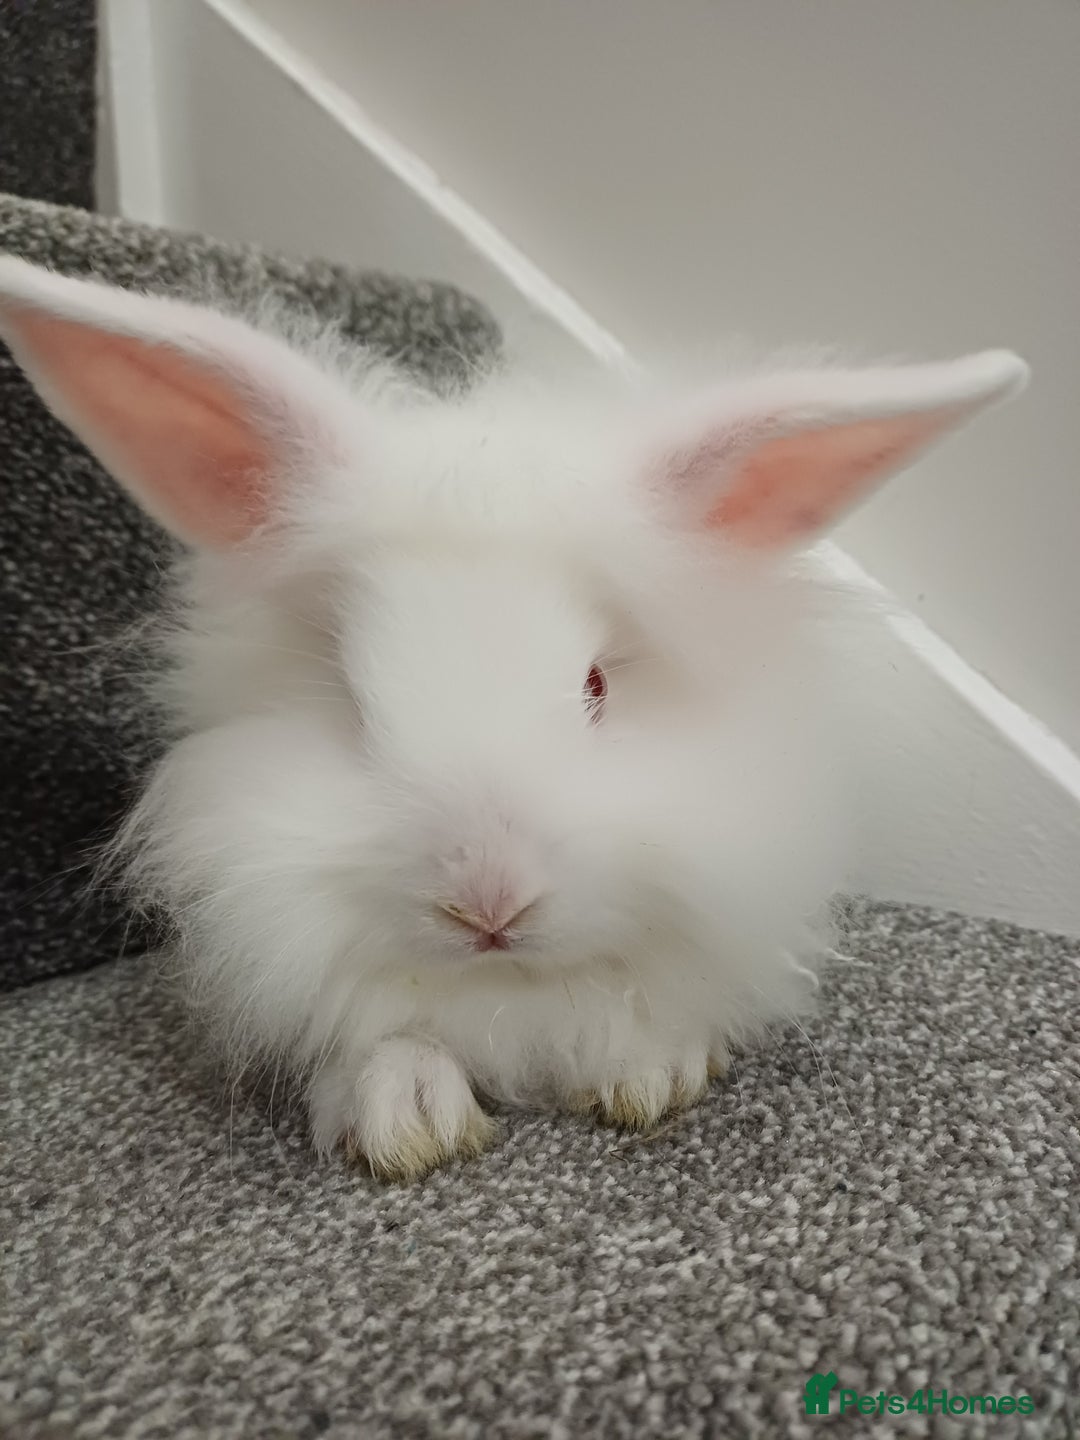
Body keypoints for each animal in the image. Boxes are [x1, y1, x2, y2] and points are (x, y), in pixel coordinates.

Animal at [0, 256, 1028, 1181]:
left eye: (597, 687)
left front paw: (652, 1073)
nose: (487, 904)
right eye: (349, 695)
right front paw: (404, 1116)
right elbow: (388, 1038)